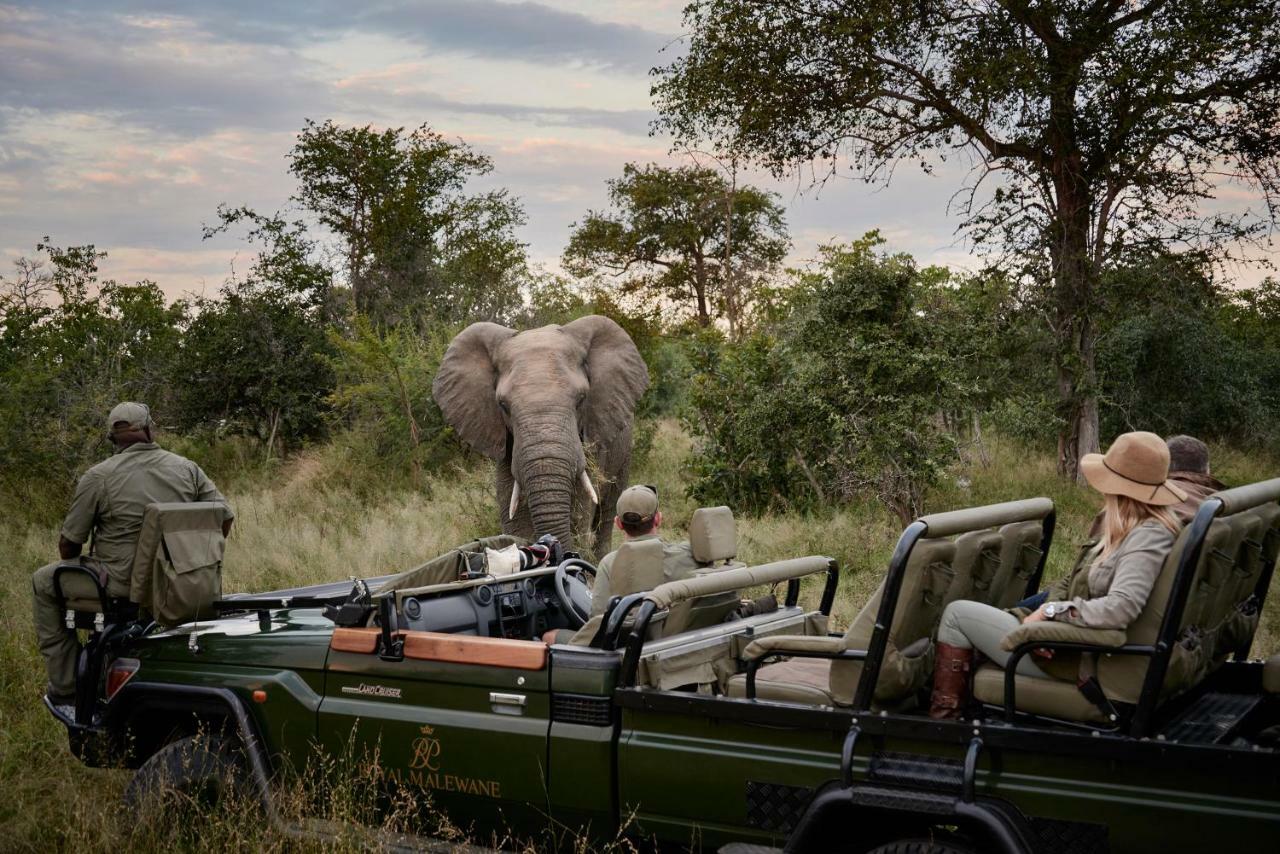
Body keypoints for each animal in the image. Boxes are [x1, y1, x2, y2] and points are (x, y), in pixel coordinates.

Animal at [432, 317, 650, 558]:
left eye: (581, 399)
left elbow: (578, 517)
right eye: (503, 405)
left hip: (623, 450)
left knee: (608, 510)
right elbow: (516, 521)